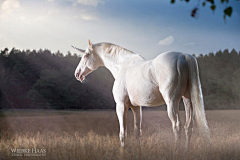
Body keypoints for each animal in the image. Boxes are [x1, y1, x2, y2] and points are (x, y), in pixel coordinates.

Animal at [71, 39, 210, 151]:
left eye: (86, 55)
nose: (77, 74)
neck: (122, 66)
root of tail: (184, 56)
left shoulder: (121, 106)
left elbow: (123, 133)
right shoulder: (136, 107)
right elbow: (137, 132)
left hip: (172, 101)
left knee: (177, 125)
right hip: (187, 100)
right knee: (188, 126)